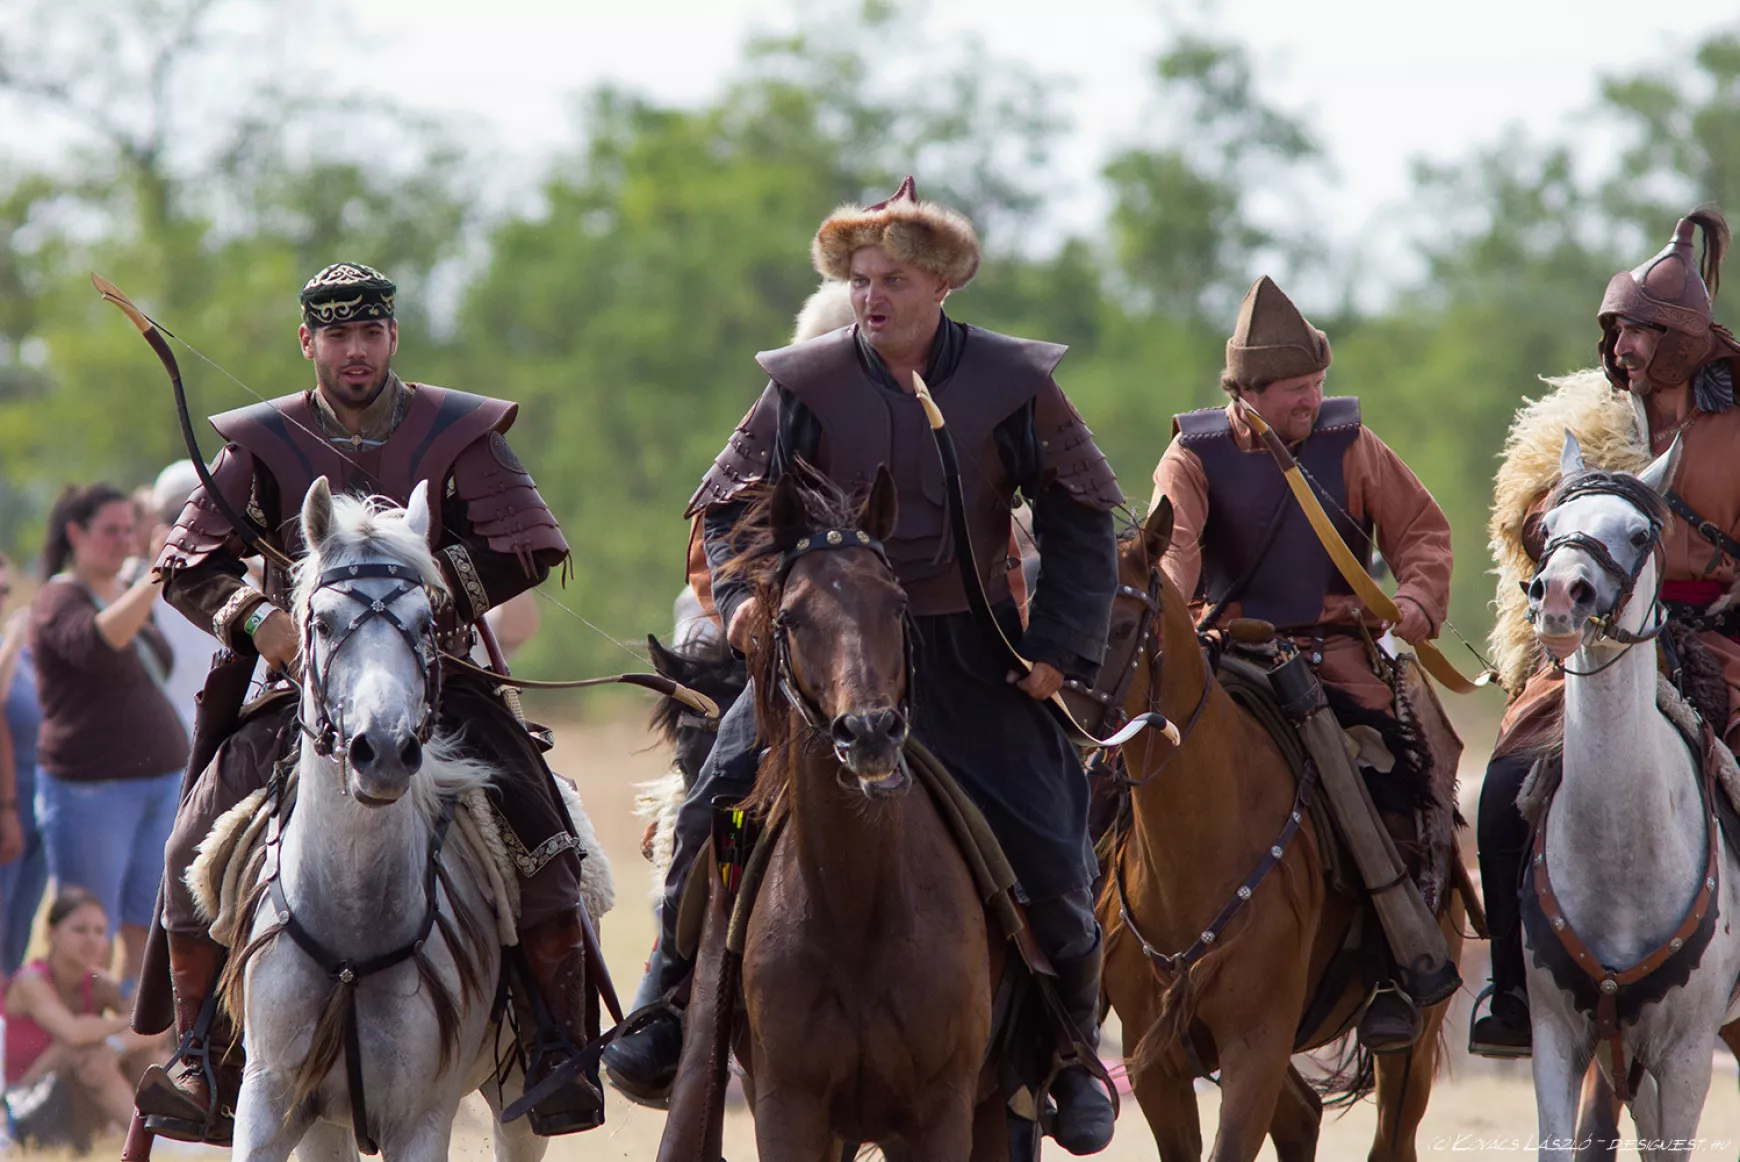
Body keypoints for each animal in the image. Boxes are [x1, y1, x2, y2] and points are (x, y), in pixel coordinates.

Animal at [226, 473, 542, 1162]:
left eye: (426, 623)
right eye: (320, 622)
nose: (386, 751)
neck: (353, 922)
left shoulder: (420, 1119)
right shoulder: (271, 1101)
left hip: (517, 1099)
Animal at [723, 466, 1009, 1155]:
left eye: (897, 604)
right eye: (792, 617)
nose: (871, 732)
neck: (855, 909)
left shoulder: (940, 1112)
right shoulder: (788, 1110)